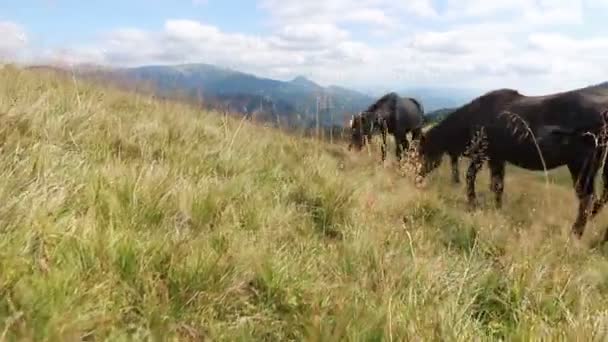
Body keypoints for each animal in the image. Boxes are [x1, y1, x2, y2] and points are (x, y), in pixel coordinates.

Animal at [418, 88, 608, 242]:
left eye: (422, 151)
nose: (417, 177)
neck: (471, 117)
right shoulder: (497, 158)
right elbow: (497, 186)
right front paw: (497, 209)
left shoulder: (482, 154)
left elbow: (470, 177)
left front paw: (473, 204)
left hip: (581, 165)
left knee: (587, 198)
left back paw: (575, 234)